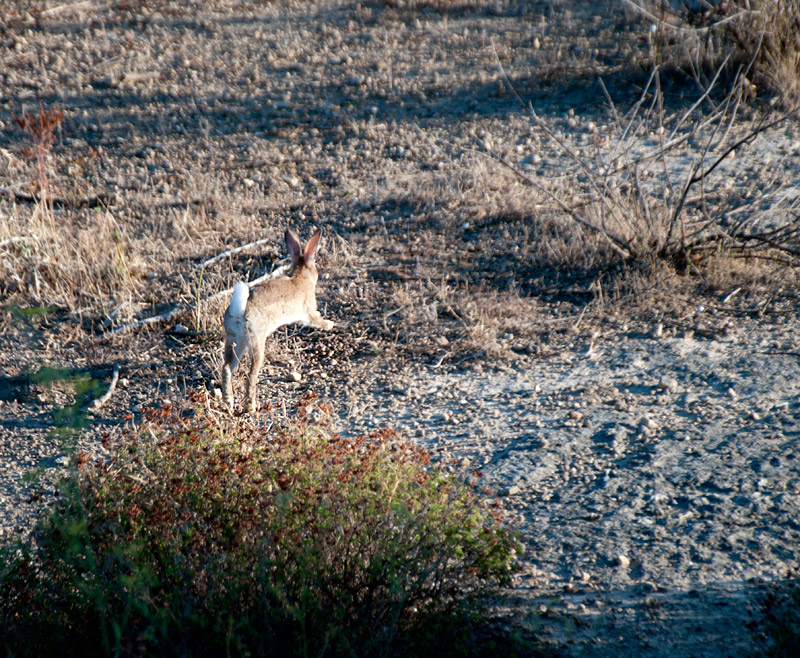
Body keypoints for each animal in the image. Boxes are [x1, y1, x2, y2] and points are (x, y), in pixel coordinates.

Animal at [220, 227, 332, 410]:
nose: (317, 274)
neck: (300, 276)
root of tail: (240, 309)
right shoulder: (309, 311)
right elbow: (316, 319)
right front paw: (330, 324)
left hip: (235, 338)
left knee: (227, 368)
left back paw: (228, 403)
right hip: (256, 340)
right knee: (251, 374)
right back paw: (251, 407)